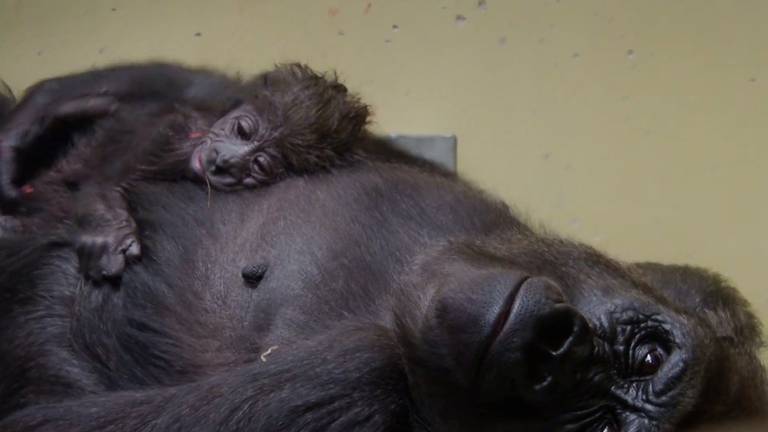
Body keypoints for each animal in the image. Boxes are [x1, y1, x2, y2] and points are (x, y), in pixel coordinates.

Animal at [0, 63, 368, 280]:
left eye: (260, 165)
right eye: (243, 131)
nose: (225, 162)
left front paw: (104, 216)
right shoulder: (203, 94)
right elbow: (69, 91)